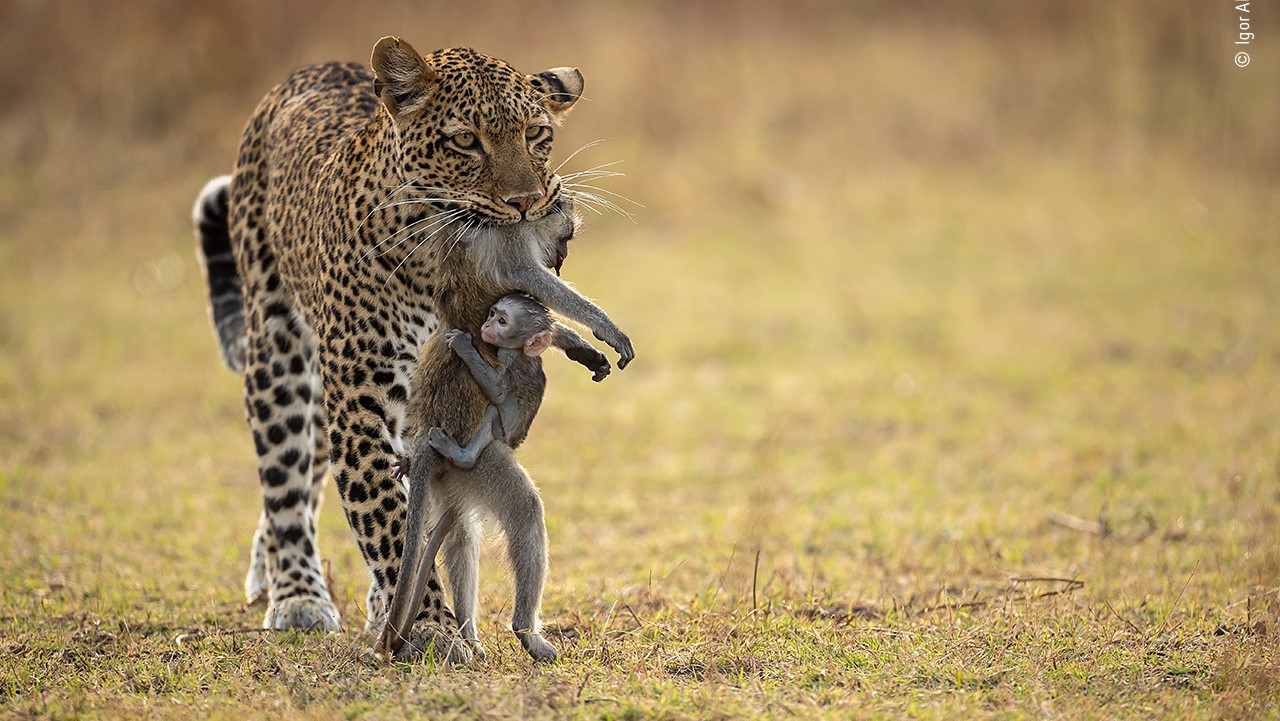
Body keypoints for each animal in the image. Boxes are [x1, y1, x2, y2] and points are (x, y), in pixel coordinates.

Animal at [192, 36, 632, 660]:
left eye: (536, 134)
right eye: (466, 140)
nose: (528, 202)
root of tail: (306, 71)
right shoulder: (358, 396)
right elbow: (388, 517)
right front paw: (428, 625)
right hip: (280, 349)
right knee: (286, 478)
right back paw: (297, 591)